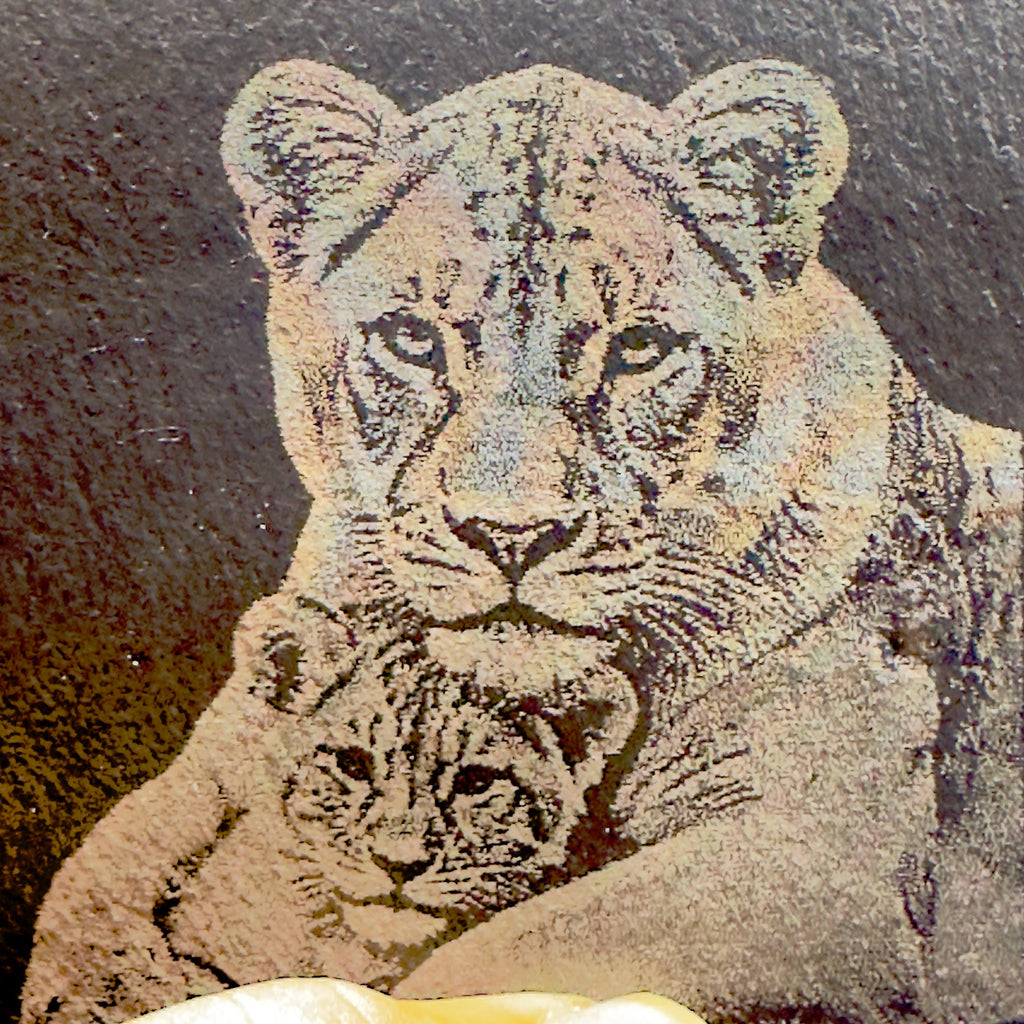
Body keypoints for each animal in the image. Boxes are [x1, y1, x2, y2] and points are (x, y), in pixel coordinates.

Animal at [21, 60, 1023, 1024]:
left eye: (639, 349)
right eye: (411, 339)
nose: (511, 534)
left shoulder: (818, 863)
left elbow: (484, 965)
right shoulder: (241, 733)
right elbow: (111, 859)